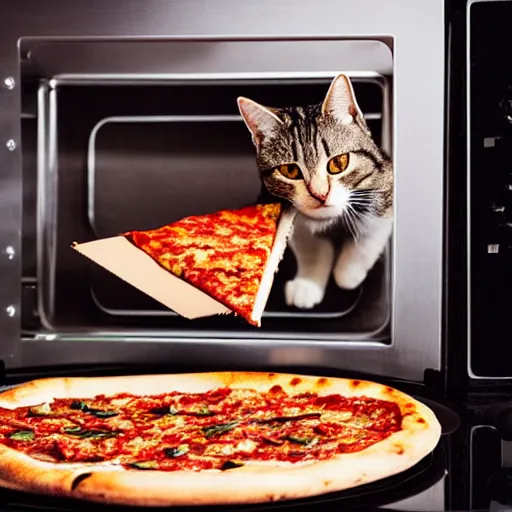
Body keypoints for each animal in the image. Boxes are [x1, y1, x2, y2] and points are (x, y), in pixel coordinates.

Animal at [238, 74, 394, 310]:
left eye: (339, 163)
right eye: (290, 170)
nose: (320, 194)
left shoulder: (385, 186)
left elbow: (369, 236)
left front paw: (348, 274)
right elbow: (310, 246)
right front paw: (307, 285)